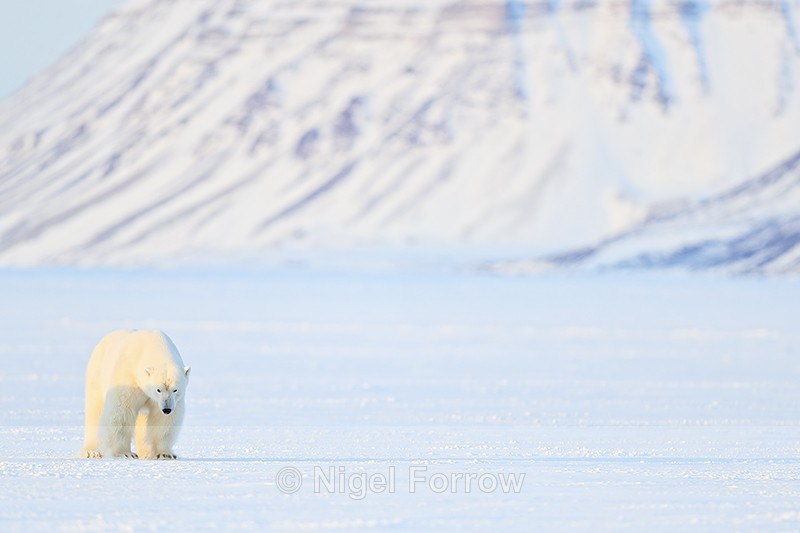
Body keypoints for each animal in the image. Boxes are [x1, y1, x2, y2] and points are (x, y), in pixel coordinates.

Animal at [79, 330, 190, 460]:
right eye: (158, 389)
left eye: (175, 390)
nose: (167, 409)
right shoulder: (128, 375)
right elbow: (122, 412)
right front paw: (125, 453)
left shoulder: (171, 401)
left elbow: (162, 420)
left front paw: (164, 454)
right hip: (97, 374)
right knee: (95, 411)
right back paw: (92, 451)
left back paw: (145, 452)